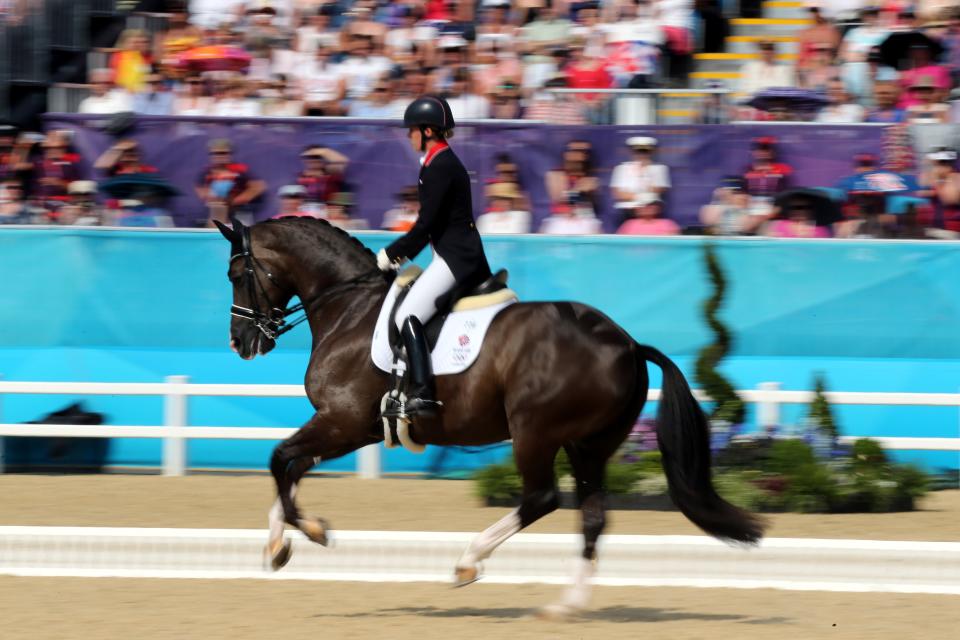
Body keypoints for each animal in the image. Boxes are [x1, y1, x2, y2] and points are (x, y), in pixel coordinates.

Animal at [212, 218, 764, 616]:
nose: (241, 343)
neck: (349, 306)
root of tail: (626, 343)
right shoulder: (351, 428)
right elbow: (290, 467)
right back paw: (568, 604)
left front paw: (307, 533)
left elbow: (279, 459)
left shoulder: (341, 421)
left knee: (543, 498)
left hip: (535, 432)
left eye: (237, 276)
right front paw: (280, 541)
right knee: (592, 514)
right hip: (590, 444)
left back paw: (468, 563)